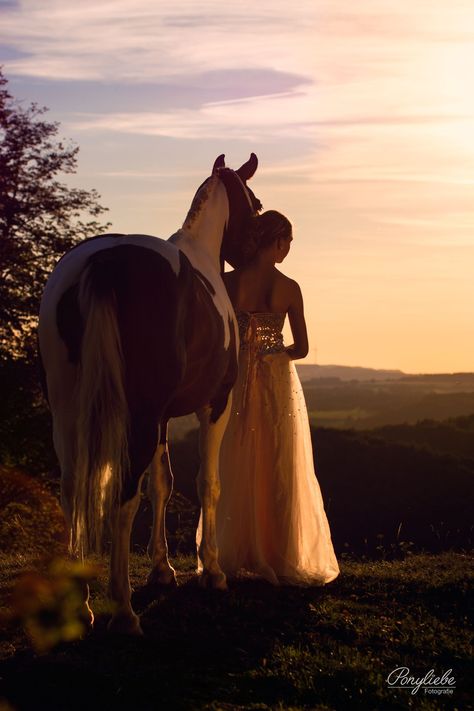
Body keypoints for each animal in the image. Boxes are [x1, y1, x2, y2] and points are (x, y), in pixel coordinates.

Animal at [38, 154, 262, 636]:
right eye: (255, 204)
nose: (255, 253)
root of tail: (105, 261)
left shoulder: (161, 416)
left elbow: (163, 483)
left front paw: (163, 569)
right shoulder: (214, 406)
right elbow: (206, 483)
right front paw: (211, 572)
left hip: (67, 412)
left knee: (72, 490)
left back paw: (81, 604)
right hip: (135, 417)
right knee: (123, 496)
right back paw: (122, 610)